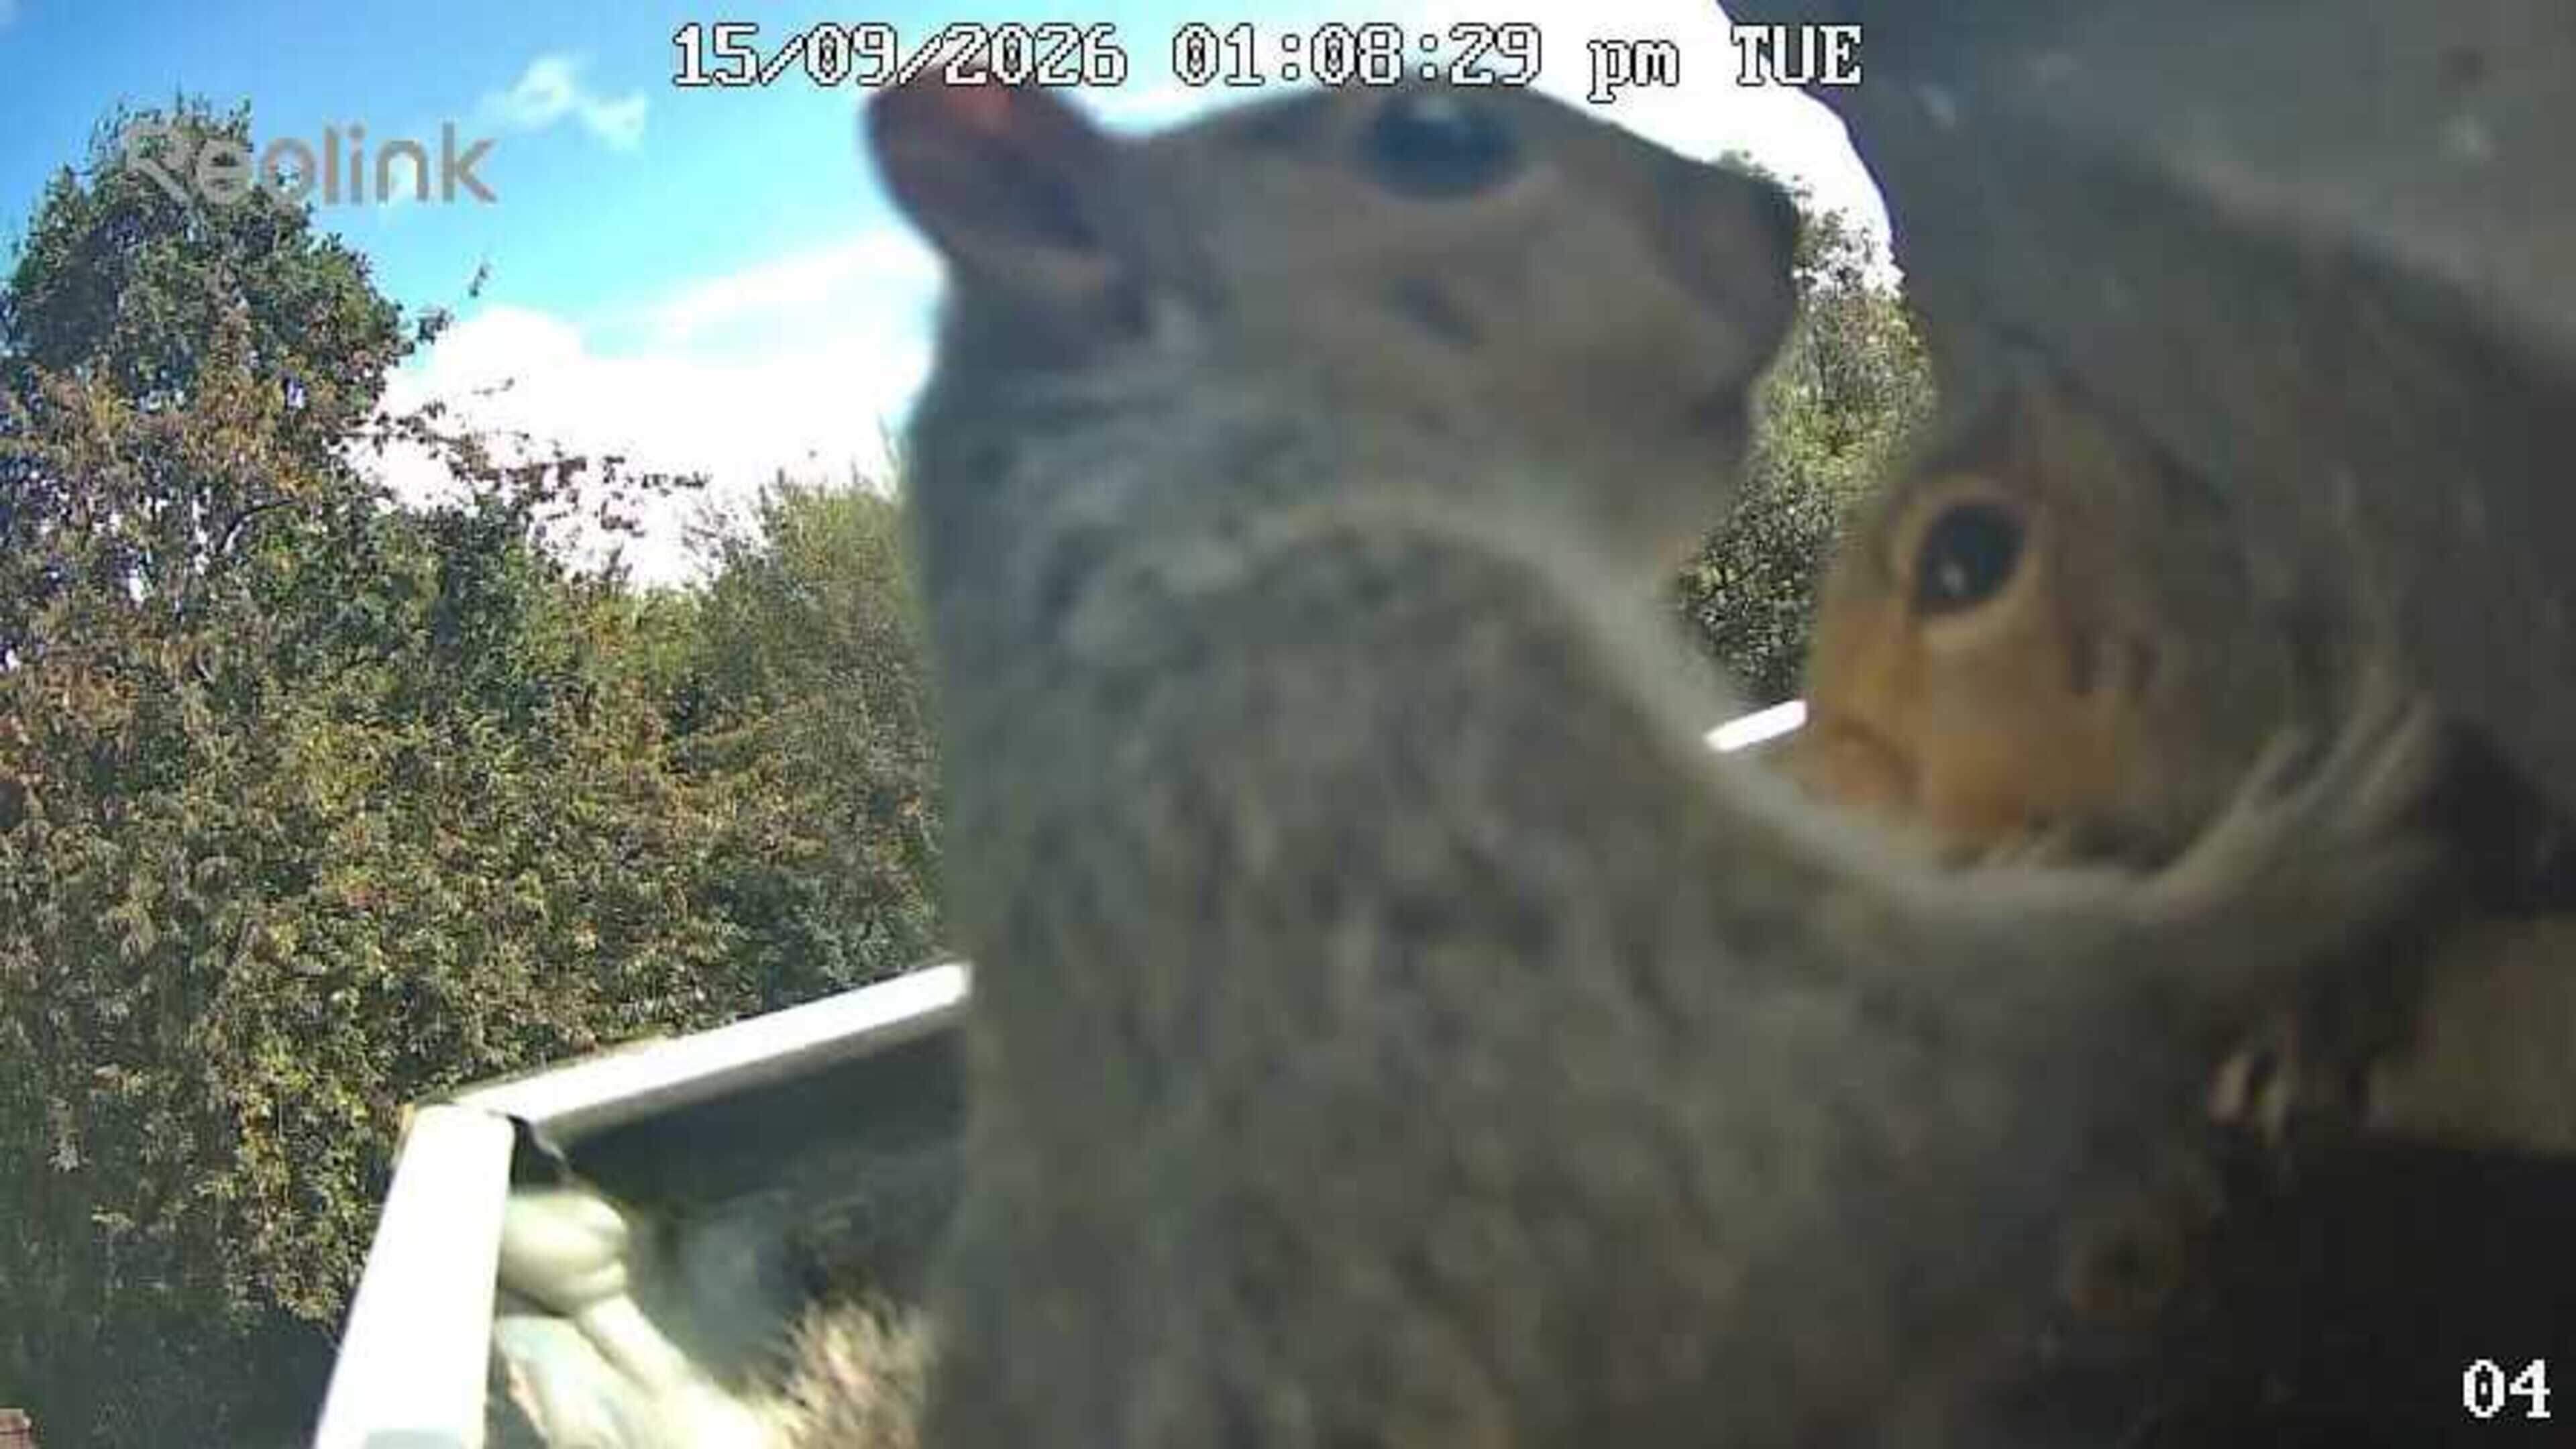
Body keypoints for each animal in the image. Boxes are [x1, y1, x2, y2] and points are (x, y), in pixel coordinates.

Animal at [852, 74, 2443, 1449]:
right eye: (1432, 138)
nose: (1770, 212)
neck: (1187, 511)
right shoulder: (1400, 805)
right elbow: (1868, 1119)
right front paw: (2305, 855)